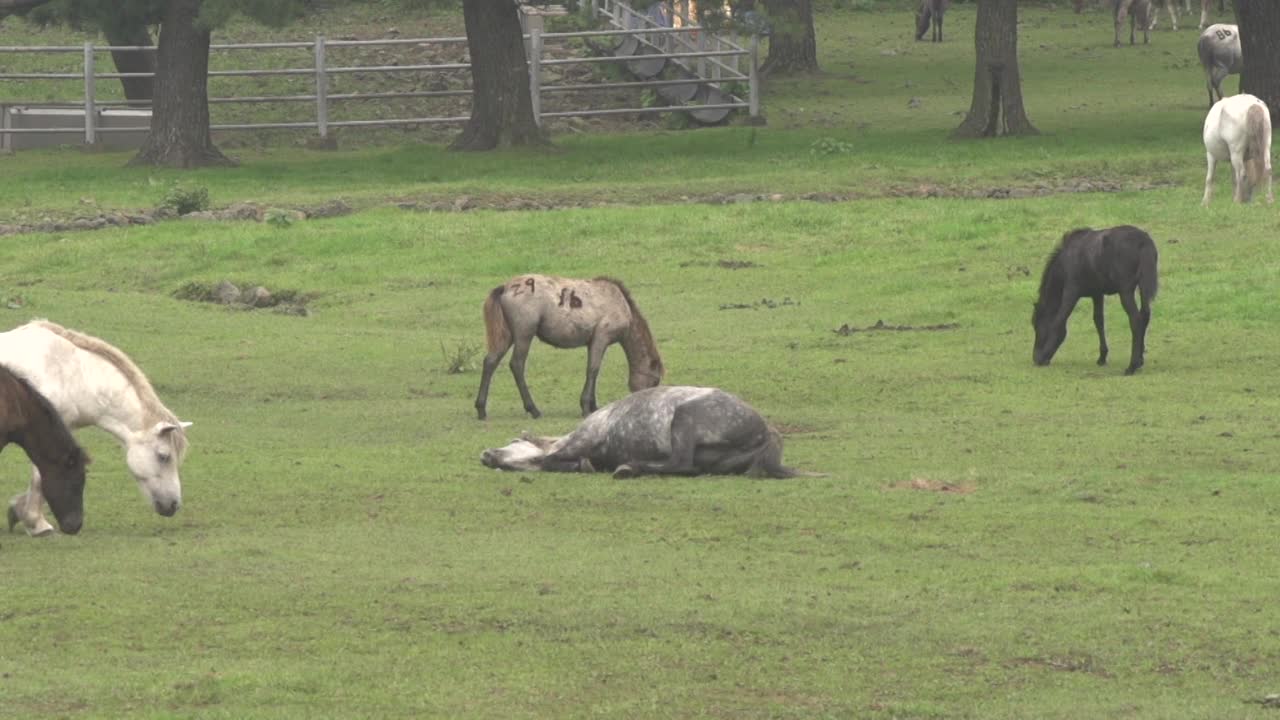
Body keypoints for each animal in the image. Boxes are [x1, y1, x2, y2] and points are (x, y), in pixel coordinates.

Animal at [476, 274, 665, 420]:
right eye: (655, 381)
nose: (646, 406)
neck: (620, 304)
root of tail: (506, 287)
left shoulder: (593, 342)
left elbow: (593, 371)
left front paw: (593, 405)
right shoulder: (601, 338)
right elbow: (593, 370)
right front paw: (586, 407)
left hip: (508, 336)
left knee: (490, 362)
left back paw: (481, 409)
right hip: (524, 335)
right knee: (517, 365)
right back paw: (533, 409)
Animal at [481, 384, 808, 479]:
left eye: (513, 440)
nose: (486, 455)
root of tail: (766, 431)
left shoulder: (585, 437)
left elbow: (550, 458)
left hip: (685, 418)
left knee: (682, 464)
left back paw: (629, 468)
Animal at [1029, 225, 1162, 371]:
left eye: (1037, 325)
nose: (1036, 358)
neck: (1066, 261)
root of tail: (1143, 241)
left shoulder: (1071, 292)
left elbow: (1059, 322)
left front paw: (1045, 355)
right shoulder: (1097, 294)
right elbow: (1098, 321)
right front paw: (1102, 357)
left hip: (1126, 291)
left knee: (1135, 319)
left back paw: (1132, 366)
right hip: (1142, 288)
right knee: (1145, 315)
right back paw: (1140, 360)